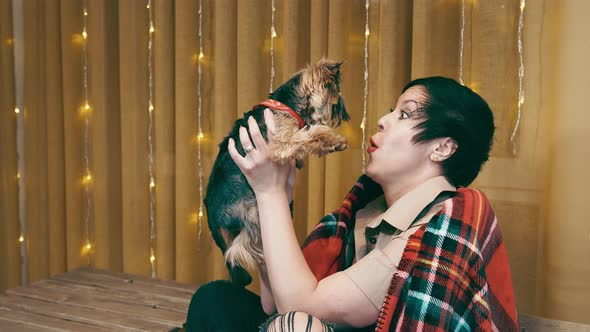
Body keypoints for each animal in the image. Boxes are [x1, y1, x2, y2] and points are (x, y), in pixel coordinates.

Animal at [206, 57, 350, 286]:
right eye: (336, 102)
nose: (342, 116)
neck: (286, 104)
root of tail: (210, 215)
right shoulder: (282, 142)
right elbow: (309, 134)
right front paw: (333, 140)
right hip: (249, 210)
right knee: (239, 248)